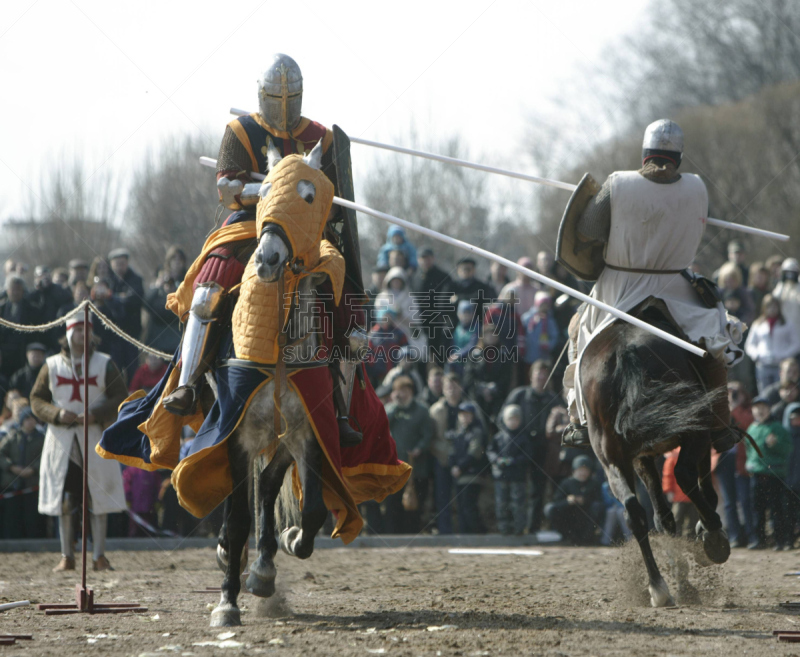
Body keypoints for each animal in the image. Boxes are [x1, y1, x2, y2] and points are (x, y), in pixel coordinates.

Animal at [580, 304, 732, 608]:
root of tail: (625, 352)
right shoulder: (696, 437)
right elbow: (702, 488)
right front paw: (707, 535)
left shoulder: (641, 457)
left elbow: (663, 517)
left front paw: (683, 582)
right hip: (695, 428)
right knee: (684, 476)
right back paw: (714, 538)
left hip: (611, 456)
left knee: (634, 512)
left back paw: (658, 587)